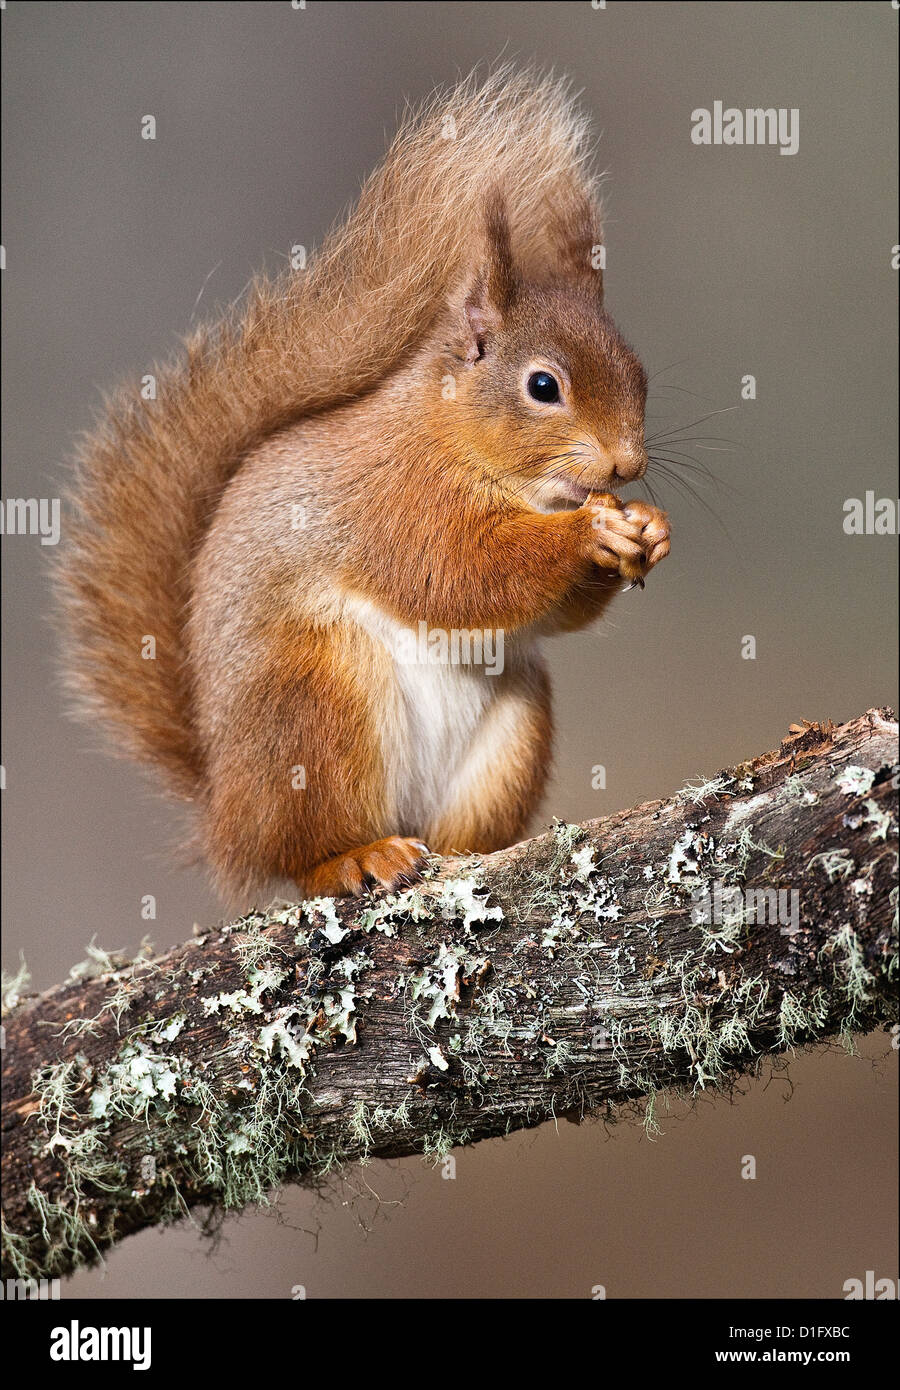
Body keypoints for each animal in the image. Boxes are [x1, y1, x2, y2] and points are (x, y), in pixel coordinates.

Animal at [61, 67, 667, 900]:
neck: (451, 436)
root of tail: (227, 816)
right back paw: (353, 857)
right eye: (543, 386)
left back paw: (467, 854)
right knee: (305, 853)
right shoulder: (399, 499)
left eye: (641, 373)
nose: (626, 464)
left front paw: (647, 531)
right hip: (318, 706)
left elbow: (550, 614)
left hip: (514, 725)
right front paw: (589, 531)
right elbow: (461, 573)